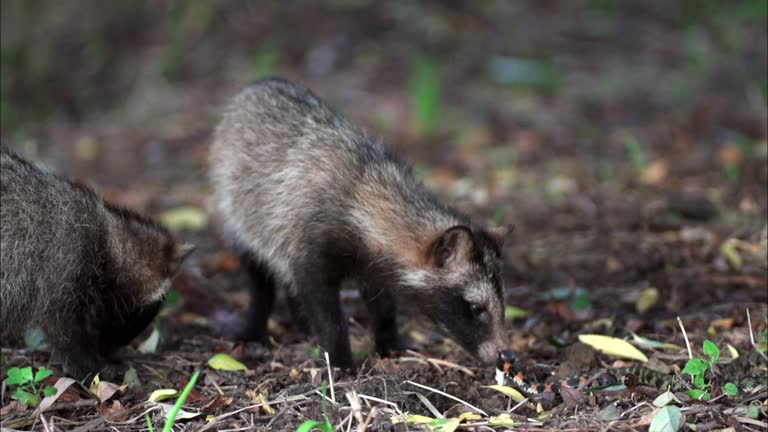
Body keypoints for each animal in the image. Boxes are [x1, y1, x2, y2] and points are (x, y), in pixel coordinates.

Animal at [0, 149, 194, 378]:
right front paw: (88, 366)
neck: (110, 236)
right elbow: (63, 329)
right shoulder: (63, 265)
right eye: (138, 316)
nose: (112, 353)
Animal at [210, 78, 507, 368]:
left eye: (502, 304)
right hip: (237, 205)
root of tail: (259, 84)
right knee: (259, 275)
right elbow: (321, 302)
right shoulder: (314, 236)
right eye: (477, 308)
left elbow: (382, 303)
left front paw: (389, 342)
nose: (507, 356)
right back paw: (256, 323)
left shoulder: (374, 262)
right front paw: (339, 357)